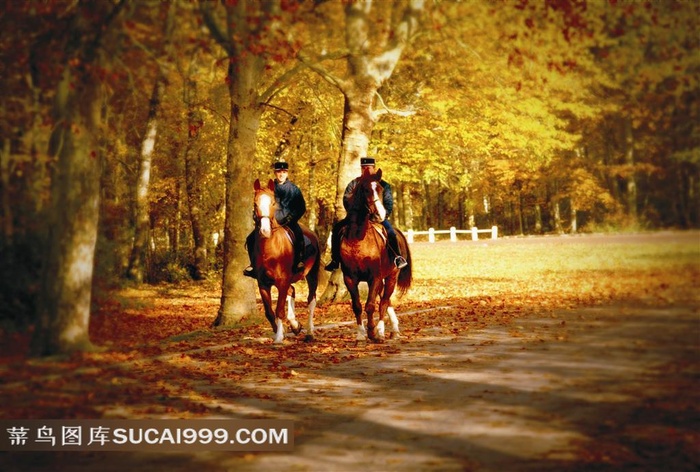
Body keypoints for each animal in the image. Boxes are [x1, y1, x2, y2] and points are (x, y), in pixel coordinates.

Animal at [252, 179, 320, 344]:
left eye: (273, 203)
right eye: (255, 203)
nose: (265, 231)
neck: (269, 248)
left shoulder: (282, 281)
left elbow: (279, 310)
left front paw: (278, 338)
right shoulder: (263, 284)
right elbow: (269, 312)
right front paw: (281, 331)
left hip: (312, 275)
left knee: (311, 300)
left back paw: (309, 333)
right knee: (292, 291)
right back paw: (295, 325)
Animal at [338, 170, 410, 342]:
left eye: (381, 189)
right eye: (365, 190)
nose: (380, 214)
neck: (358, 238)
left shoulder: (375, 277)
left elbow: (370, 305)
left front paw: (372, 333)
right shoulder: (349, 278)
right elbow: (357, 306)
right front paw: (360, 334)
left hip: (391, 277)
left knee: (384, 302)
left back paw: (383, 330)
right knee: (386, 300)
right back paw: (392, 329)